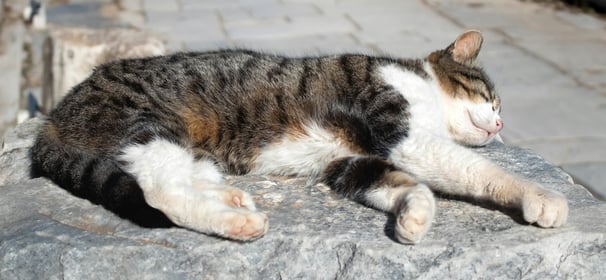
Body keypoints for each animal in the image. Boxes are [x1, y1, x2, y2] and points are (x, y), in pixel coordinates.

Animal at [28, 31, 568, 244]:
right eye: (491, 99)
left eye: (500, 110)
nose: (500, 126)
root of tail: (51, 118)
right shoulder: (402, 133)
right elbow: (479, 170)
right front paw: (541, 198)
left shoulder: (348, 163)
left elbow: (403, 184)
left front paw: (414, 217)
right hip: (146, 127)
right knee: (160, 194)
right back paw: (237, 222)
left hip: (182, 148)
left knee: (177, 180)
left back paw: (230, 197)